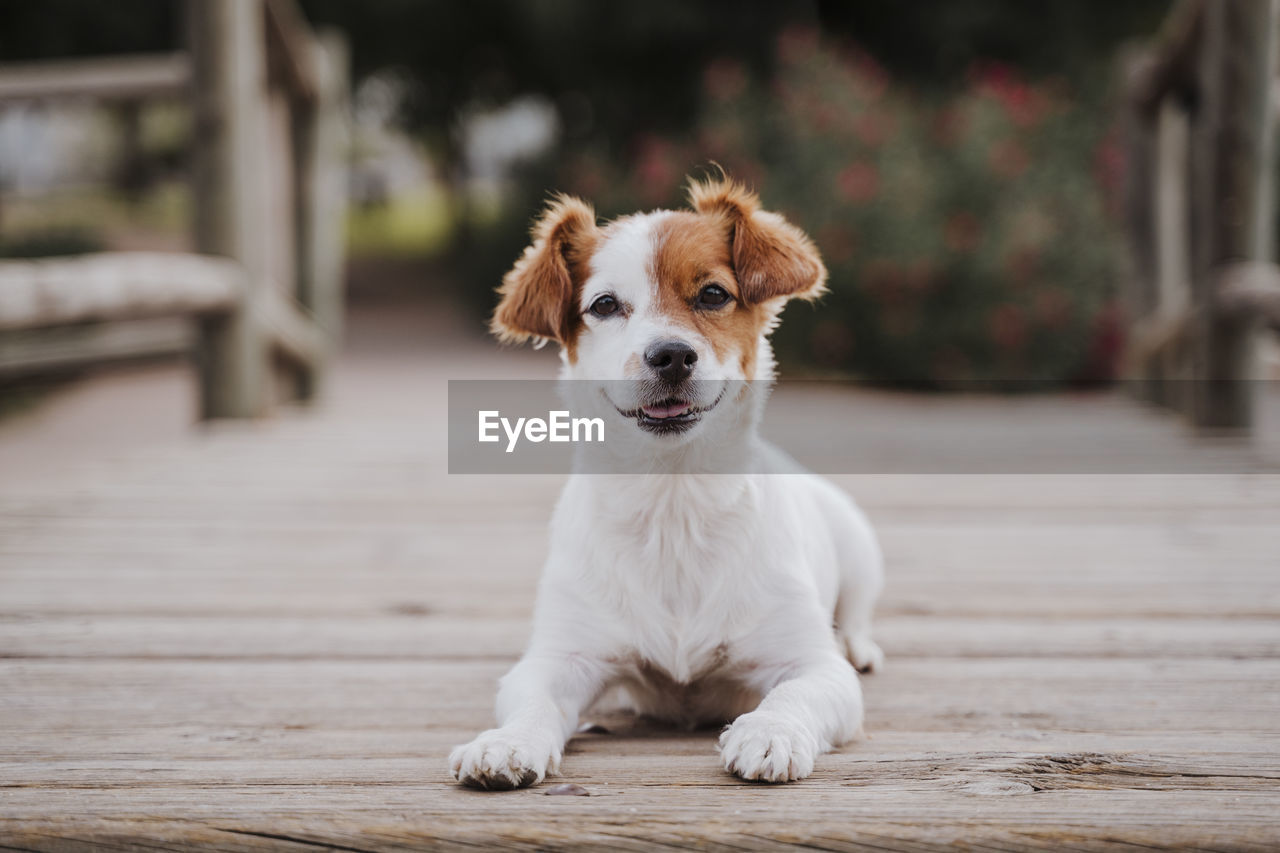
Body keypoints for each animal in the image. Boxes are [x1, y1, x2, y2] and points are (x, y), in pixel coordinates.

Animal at [448, 172, 880, 783]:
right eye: (604, 305)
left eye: (714, 294)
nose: (671, 355)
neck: (672, 504)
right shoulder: (559, 657)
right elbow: (532, 703)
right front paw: (507, 743)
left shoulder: (812, 664)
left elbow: (793, 695)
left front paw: (770, 733)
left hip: (861, 552)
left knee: (858, 616)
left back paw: (862, 649)